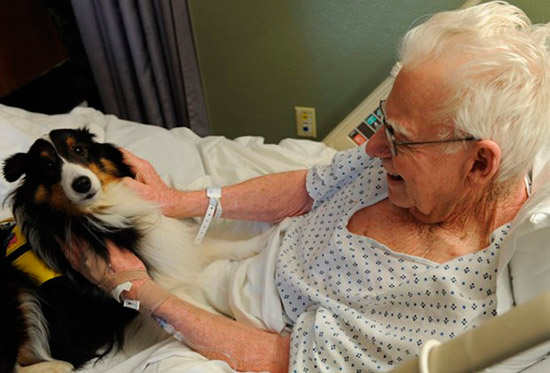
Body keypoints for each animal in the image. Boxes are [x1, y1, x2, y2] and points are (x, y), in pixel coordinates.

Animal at [0, 127, 246, 370]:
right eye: (48, 166)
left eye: (79, 149)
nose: (82, 183)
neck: (99, 210)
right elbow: (196, 309)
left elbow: (213, 245)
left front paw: (253, 244)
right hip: (16, 290)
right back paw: (59, 365)